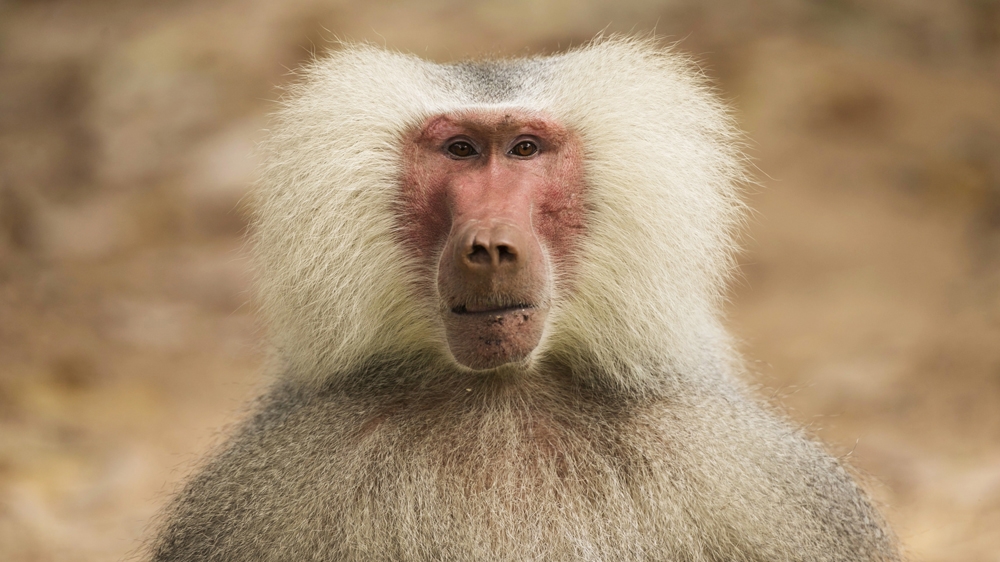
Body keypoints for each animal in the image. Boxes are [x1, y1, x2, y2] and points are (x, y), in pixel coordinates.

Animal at [148, 37, 900, 561]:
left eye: (525, 148)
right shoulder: (261, 498)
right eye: (460, 149)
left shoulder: (757, 482)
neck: (502, 400)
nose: (489, 247)